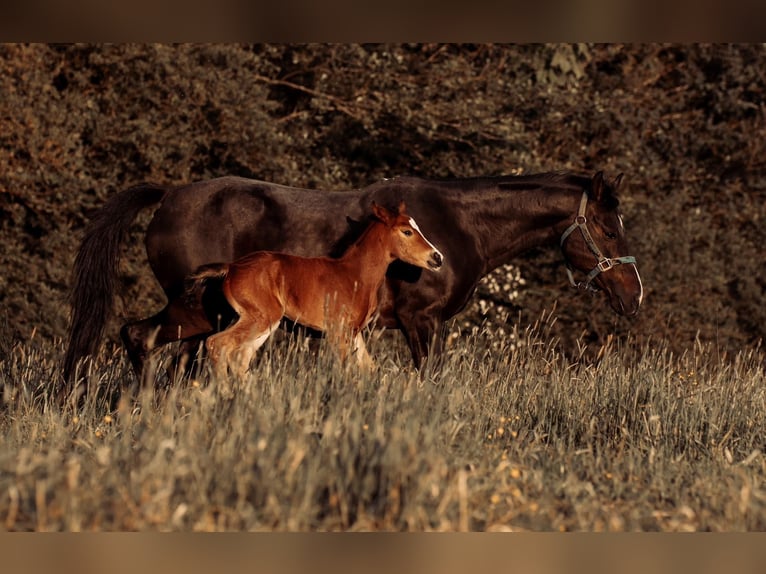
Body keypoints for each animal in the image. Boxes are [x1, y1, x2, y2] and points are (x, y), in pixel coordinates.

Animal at [185, 204, 444, 382]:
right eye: (407, 231)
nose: (437, 257)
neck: (355, 273)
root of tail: (232, 268)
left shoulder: (354, 332)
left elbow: (369, 368)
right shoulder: (338, 330)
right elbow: (346, 368)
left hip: (263, 322)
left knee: (240, 356)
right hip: (261, 317)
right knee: (217, 344)